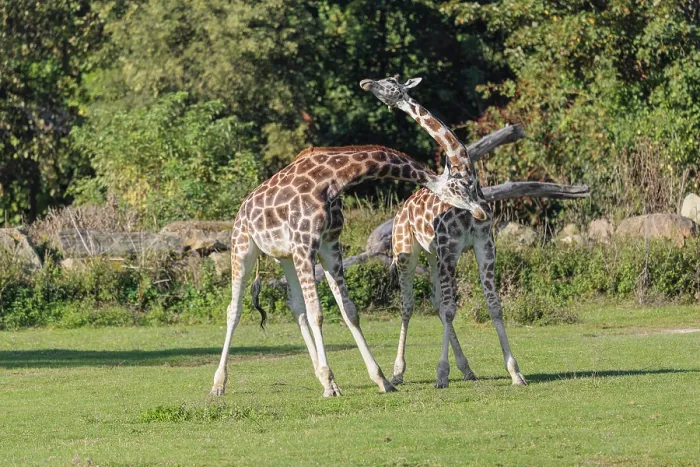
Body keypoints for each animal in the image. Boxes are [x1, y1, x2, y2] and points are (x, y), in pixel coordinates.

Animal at [211, 139, 489, 398]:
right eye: (465, 184)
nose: (482, 211)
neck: (330, 180)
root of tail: (243, 207)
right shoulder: (305, 244)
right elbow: (317, 313)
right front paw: (331, 384)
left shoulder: (328, 246)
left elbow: (348, 311)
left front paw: (380, 380)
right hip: (243, 247)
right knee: (234, 309)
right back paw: (218, 384)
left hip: (285, 257)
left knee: (296, 307)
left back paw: (317, 372)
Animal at [361, 76, 527, 388]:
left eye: (390, 82)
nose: (366, 82)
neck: (467, 178)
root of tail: (401, 211)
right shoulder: (450, 248)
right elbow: (451, 309)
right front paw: (440, 373)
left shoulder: (483, 245)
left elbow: (493, 305)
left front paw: (515, 372)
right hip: (407, 253)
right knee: (408, 305)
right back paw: (398, 372)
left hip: (432, 255)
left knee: (437, 303)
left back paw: (466, 368)